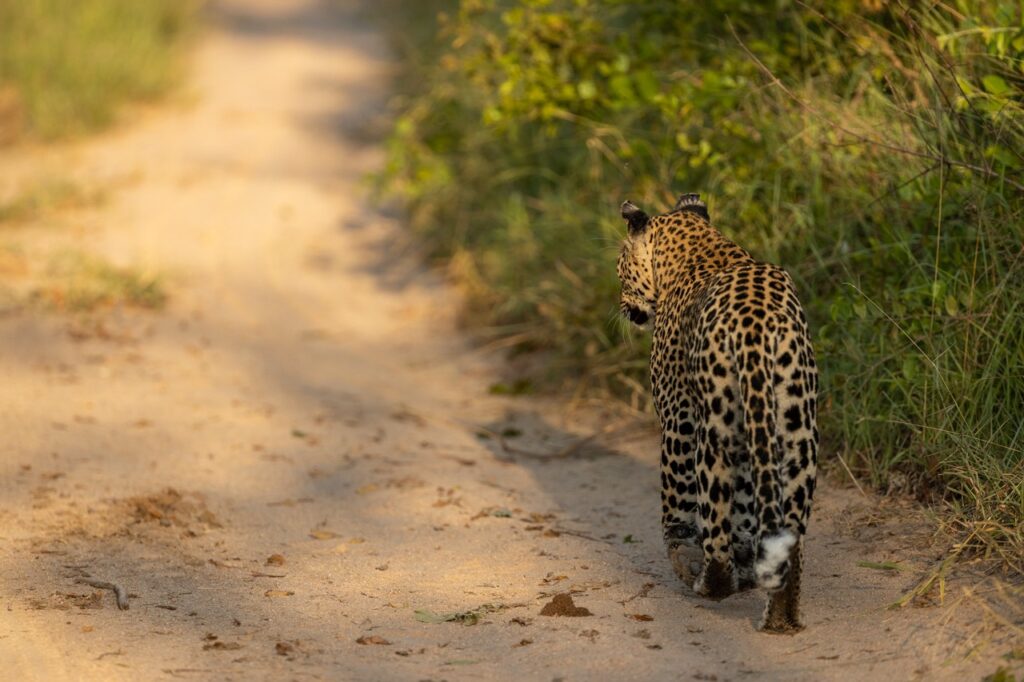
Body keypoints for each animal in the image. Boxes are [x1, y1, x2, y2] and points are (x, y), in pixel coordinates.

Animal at [615, 192, 818, 633]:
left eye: (620, 268)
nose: (623, 307)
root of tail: (755, 329)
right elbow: (745, 510)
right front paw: (747, 561)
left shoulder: (677, 415)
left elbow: (677, 498)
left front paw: (684, 551)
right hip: (797, 433)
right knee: (790, 534)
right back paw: (780, 617)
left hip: (715, 431)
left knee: (714, 508)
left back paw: (710, 581)